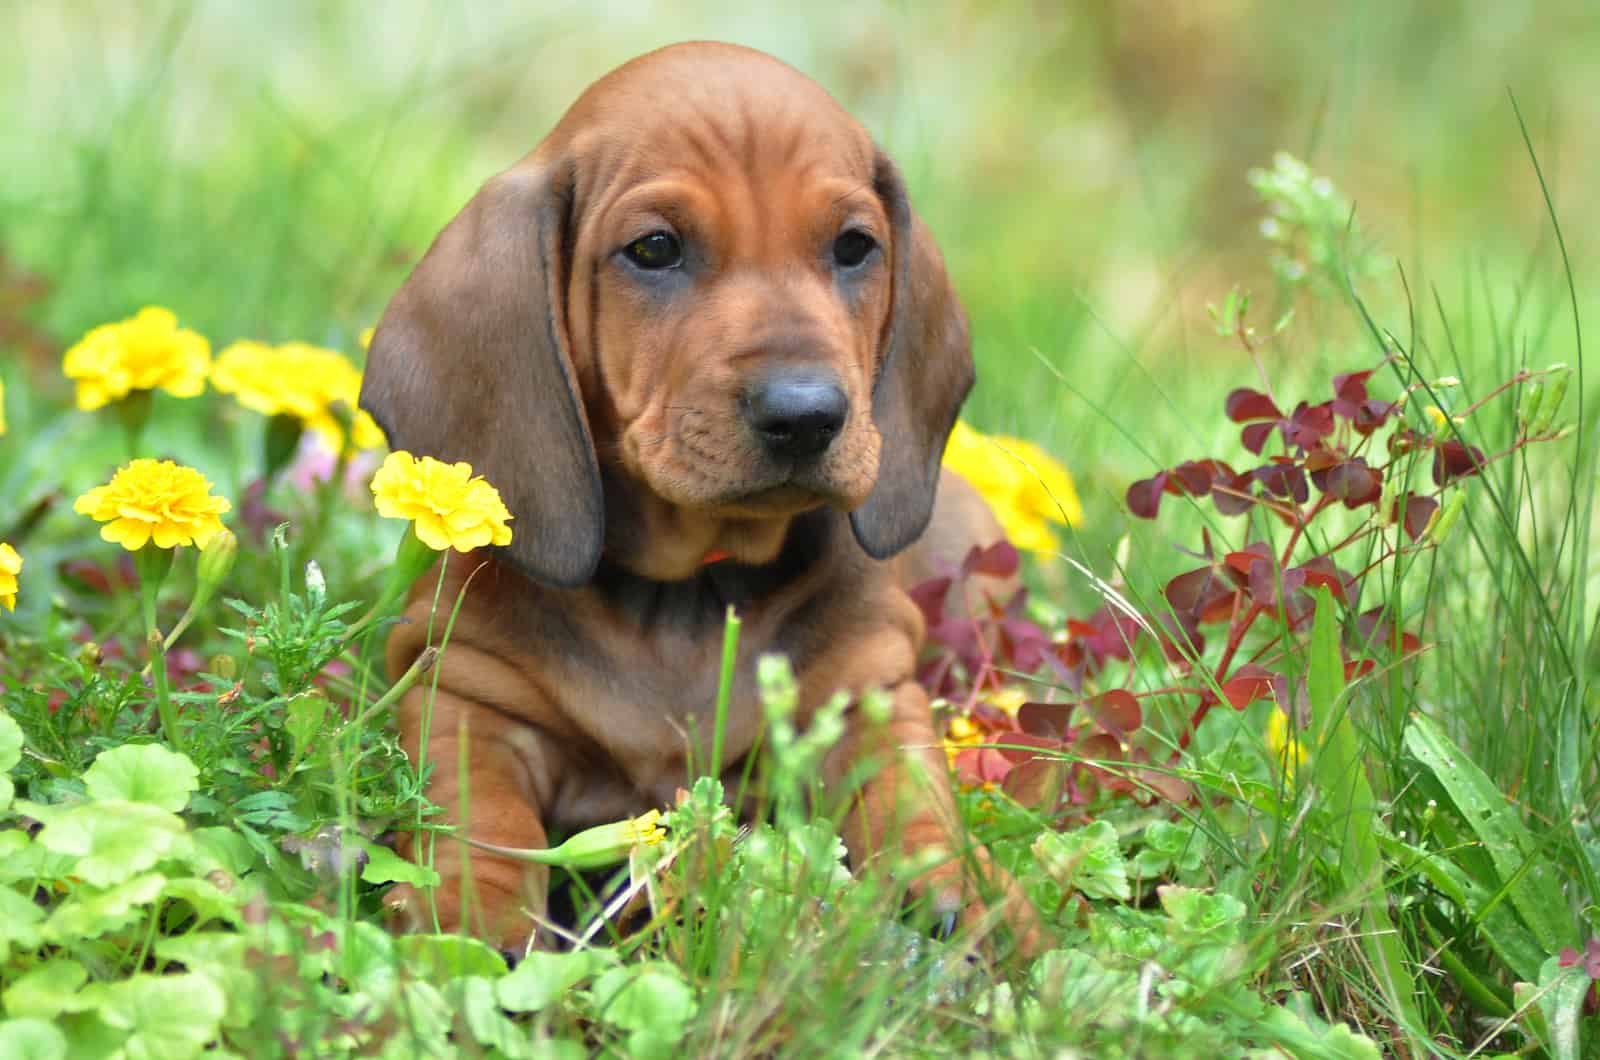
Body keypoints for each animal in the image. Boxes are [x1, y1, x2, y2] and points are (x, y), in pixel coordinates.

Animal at [360, 39, 1036, 954]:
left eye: (855, 246)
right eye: (654, 249)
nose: (806, 415)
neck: (688, 588)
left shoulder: (871, 693)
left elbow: (913, 798)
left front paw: (959, 887)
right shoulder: (461, 685)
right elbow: (476, 808)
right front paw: (471, 908)